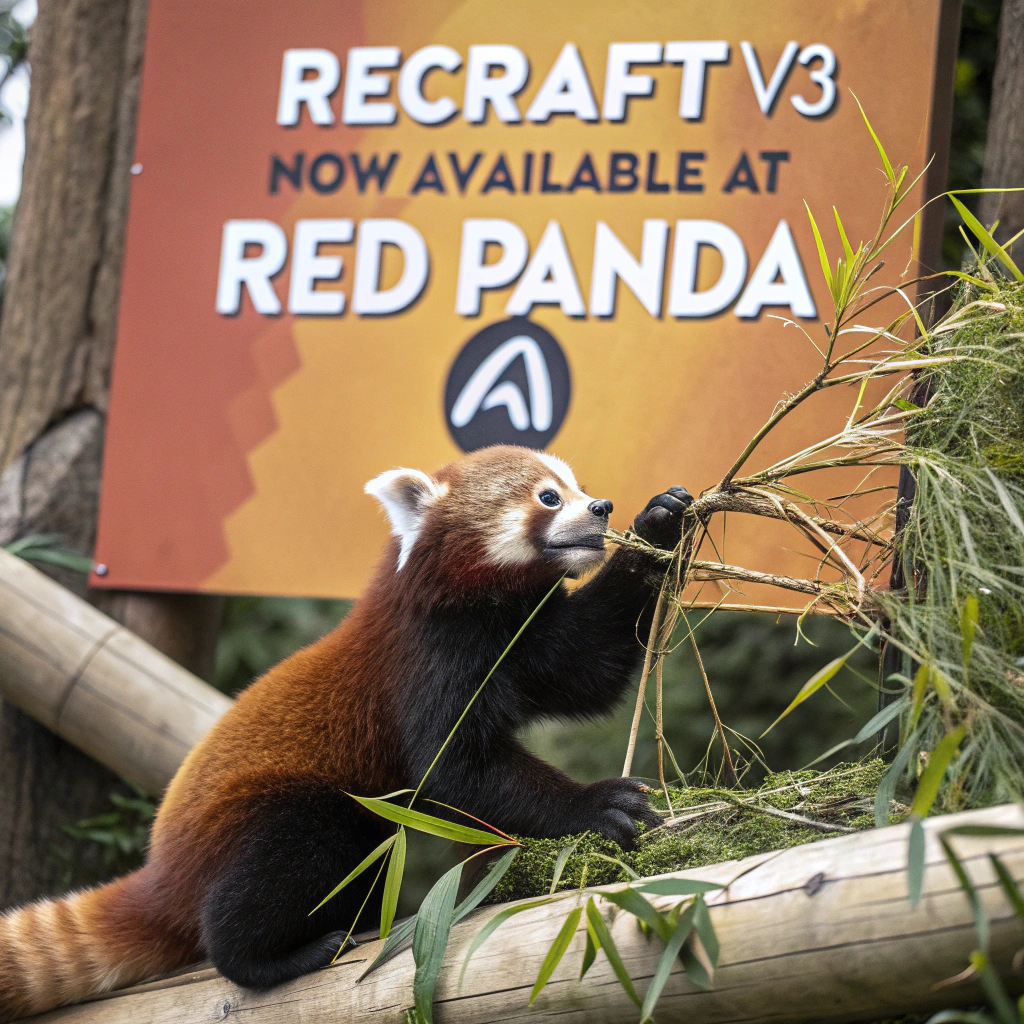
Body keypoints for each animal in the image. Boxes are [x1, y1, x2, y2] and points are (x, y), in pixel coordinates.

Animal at [0, 445, 692, 1021]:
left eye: (581, 487)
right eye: (548, 497)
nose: (601, 508)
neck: (474, 610)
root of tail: (163, 870)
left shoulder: (523, 640)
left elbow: (586, 666)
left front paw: (661, 522)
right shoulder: (422, 657)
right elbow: (456, 770)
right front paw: (598, 803)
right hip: (269, 817)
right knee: (284, 861)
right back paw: (277, 955)